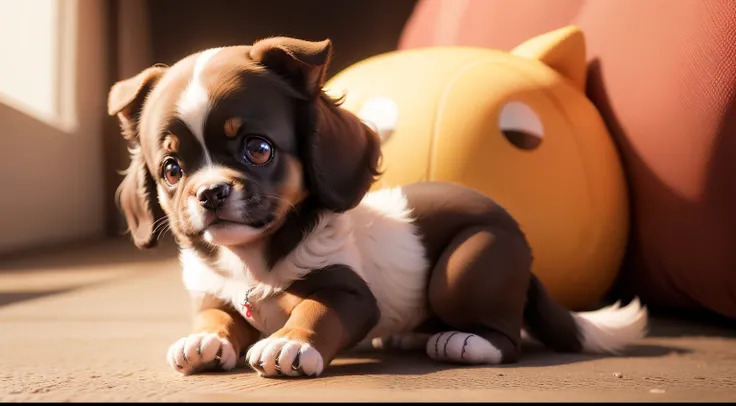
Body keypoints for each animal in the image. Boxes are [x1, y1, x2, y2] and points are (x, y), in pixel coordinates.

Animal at [106, 35, 648, 378]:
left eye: (258, 149)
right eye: (171, 169)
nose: (211, 193)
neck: (251, 259)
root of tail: (523, 249)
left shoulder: (350, 291)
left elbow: (316, 310)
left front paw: (289, 342)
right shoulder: (215, 294)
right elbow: (216, 317)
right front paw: (202, 341)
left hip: (469, 263)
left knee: (506, 335)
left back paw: (465, 342)